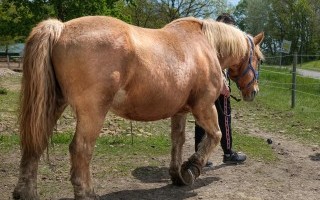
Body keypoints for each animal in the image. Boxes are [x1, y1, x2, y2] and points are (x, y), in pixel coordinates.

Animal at [13, 16, 264, 200]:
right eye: (260, 59)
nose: (254, 92)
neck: (204, 45)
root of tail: (61, 28)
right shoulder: (203, 107)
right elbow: (215, 136)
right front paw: (192, 168)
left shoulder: (180, 112)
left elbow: (178, 142)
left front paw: (178, 176)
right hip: (92, 112)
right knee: (80, 149)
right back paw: (87, 193)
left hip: (53, 104)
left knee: (35, 144)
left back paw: (26, 193)